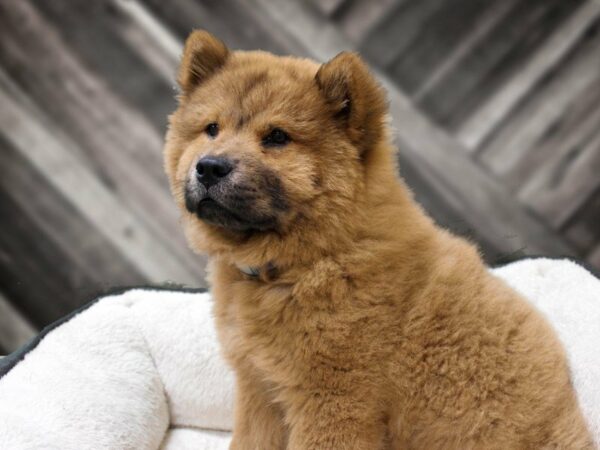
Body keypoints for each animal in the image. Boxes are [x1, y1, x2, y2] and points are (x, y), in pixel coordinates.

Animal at [162, 29, 592, 448]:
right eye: (211, 129)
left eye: (277, 137)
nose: (209, 167)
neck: (315, 258)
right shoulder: (261, 389)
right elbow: (250, 441)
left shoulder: (333, 400)